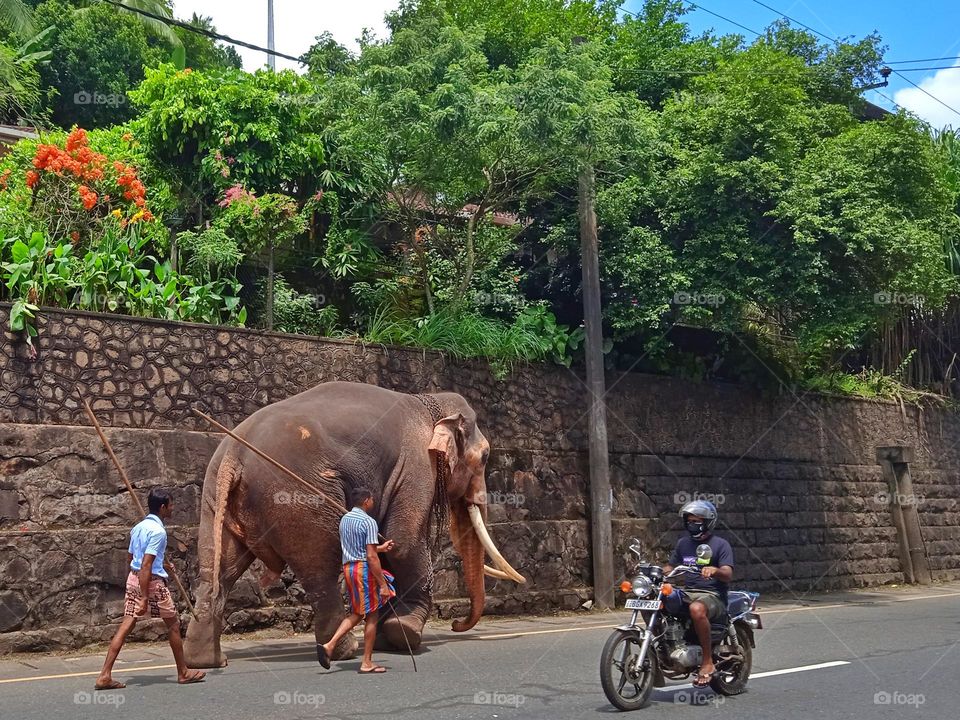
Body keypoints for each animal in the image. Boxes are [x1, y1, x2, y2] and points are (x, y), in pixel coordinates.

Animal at [183, 380, 525, 668]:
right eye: (485, 457)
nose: (456, 625)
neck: (430, 402)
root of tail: (234, 454)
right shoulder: (416, 466)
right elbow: (403, 543)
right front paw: (405, 634)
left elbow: (384, 547)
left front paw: (390, 636)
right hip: (298, 495)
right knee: (320, 566)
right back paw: (342, 650)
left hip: (214, 495)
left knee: (218, 570)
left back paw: (208, 661)